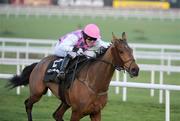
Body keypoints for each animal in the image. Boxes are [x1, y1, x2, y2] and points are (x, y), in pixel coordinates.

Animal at [8, 32, 139, 121]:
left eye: (131, 50)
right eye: (121, 51)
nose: (135, 70)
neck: (94, 84)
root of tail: (39, 63)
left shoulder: (96, 112)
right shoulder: (76, 112)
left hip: (65, 101)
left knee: (57, 115)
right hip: (37, 92)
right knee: (28, 104)